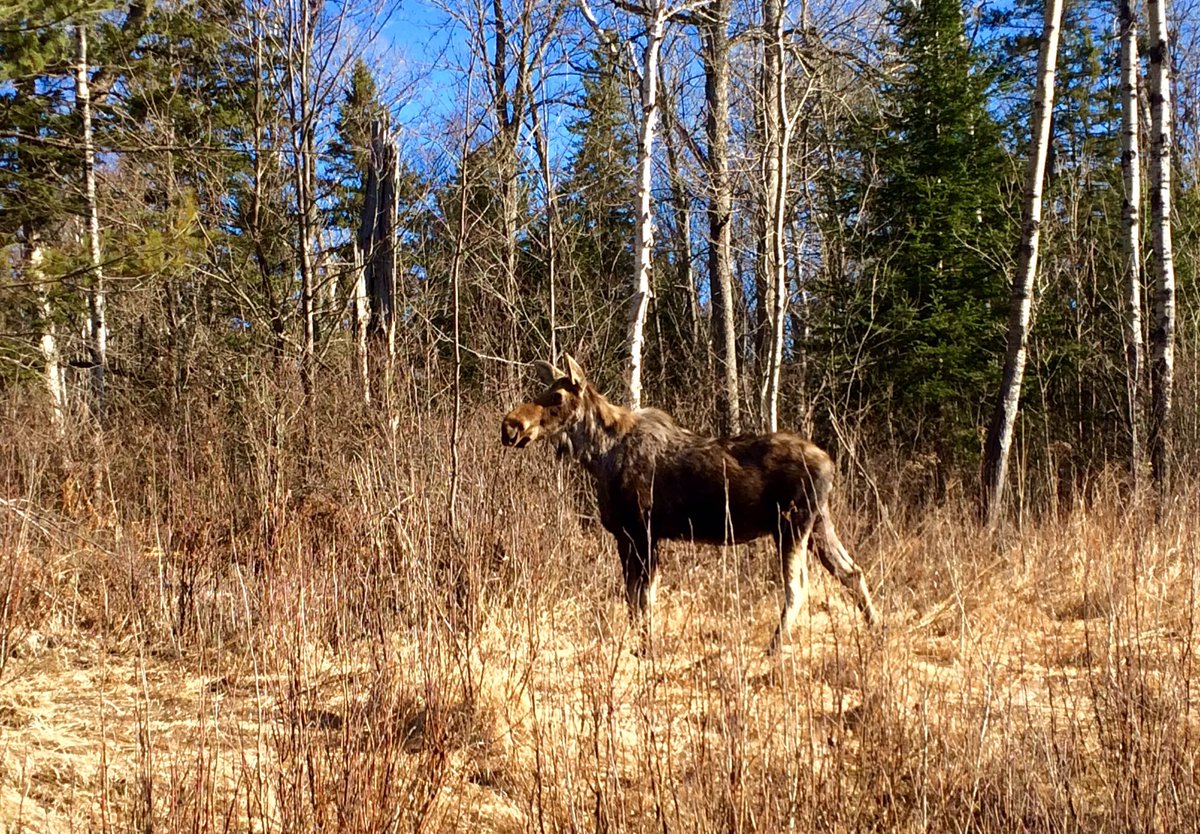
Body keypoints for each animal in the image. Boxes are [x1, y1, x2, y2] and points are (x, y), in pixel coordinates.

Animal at [500, 355, 879, 652]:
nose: (511, 426)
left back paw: (773, 649)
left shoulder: (642, 531)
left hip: (791, 524)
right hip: (818, 523)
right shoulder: (629, 536)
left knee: (797, 587)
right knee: (852, 572)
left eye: (557, 395)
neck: (598, 457)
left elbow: (643, 598)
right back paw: (877, 628)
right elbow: (632, 599)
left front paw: (646, 648)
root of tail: (830, 463)